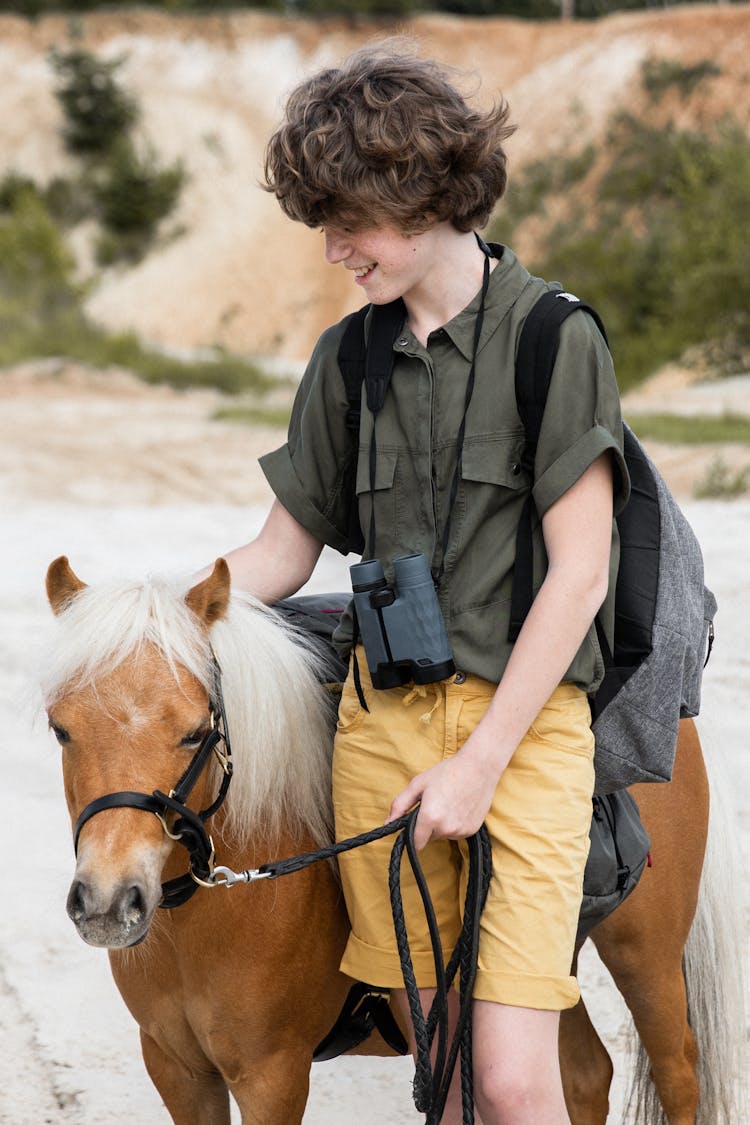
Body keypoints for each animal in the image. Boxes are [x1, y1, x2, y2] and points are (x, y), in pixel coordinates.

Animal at [42, 555, 746, 1125]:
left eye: (194, 732)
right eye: (60, 729)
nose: (108, 901)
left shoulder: (272, 1075)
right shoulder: (179, 1071)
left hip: (644, 956)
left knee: (678, 1074)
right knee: (583, 1074)